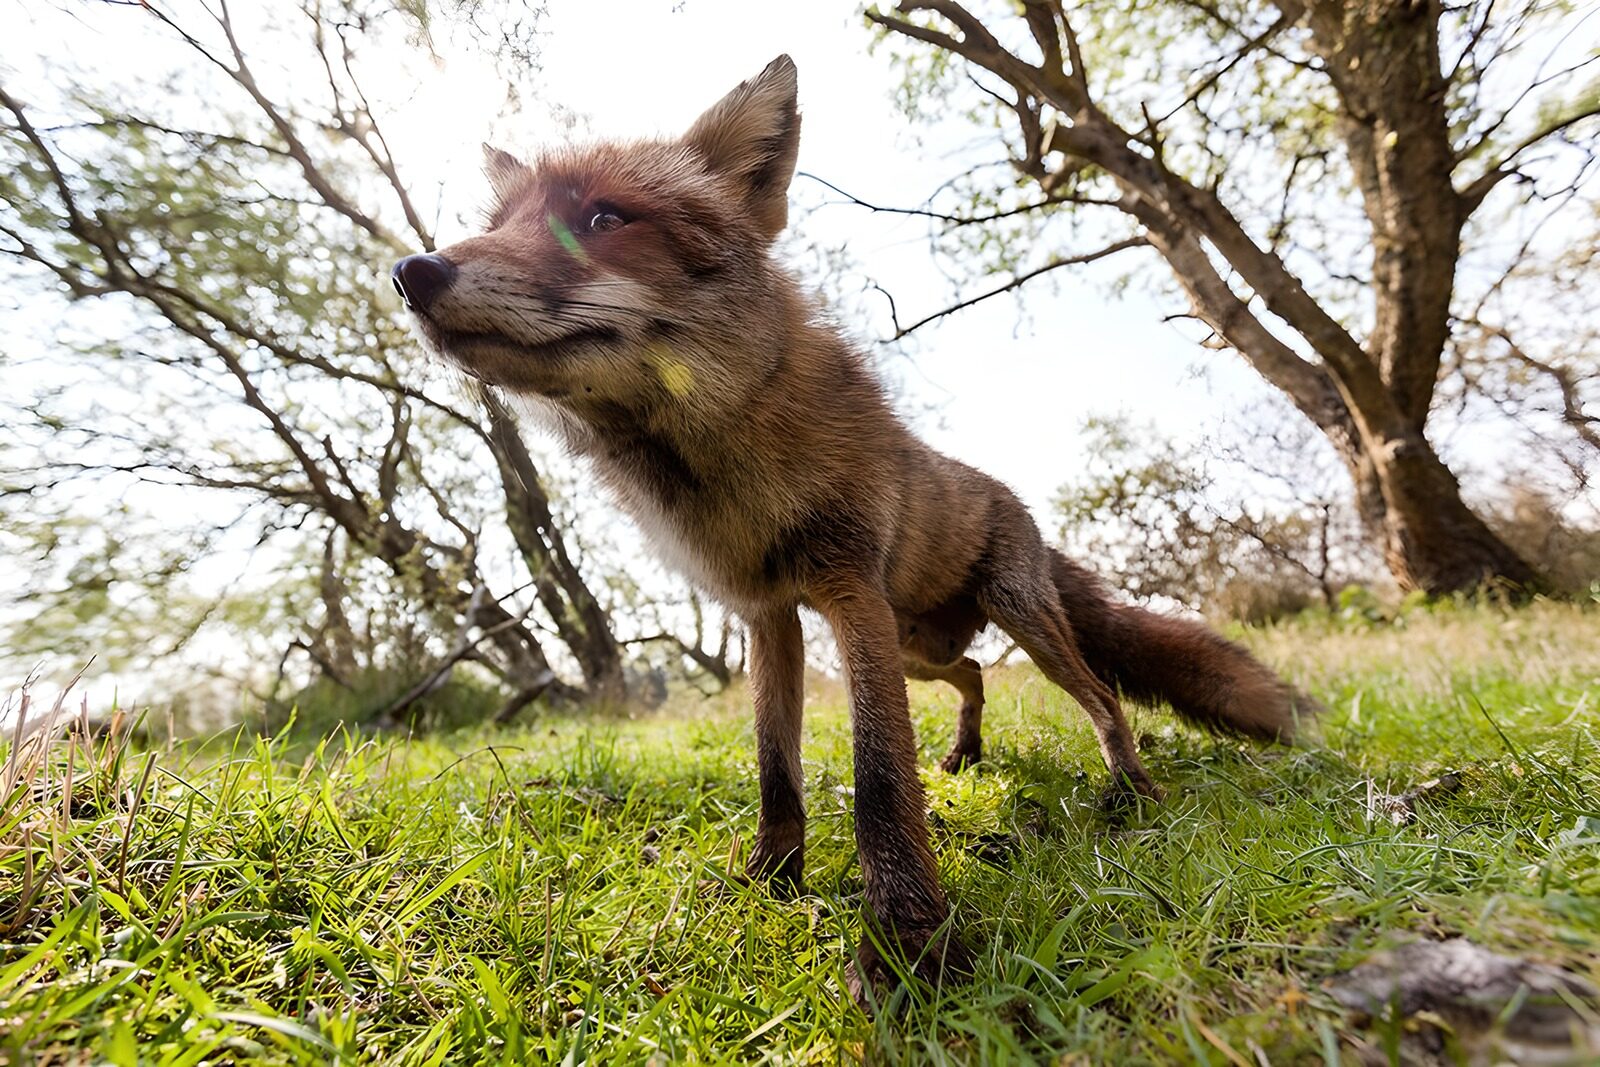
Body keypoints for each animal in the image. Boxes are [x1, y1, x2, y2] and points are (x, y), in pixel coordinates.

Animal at [392, 55, 1314, 1003]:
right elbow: (778, 770)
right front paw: (771, 879)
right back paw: (965, 755)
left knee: (1101, 695)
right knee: (975, 673)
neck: (718, 462)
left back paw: (1129, 791)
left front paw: (909, 944)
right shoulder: (769, 615)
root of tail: (1013, 500)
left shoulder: (846, 591)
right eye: (494, 225)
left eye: (605, 219)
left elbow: (878, 779)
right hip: (917, 644)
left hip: (1007, 623)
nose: (413, 272)